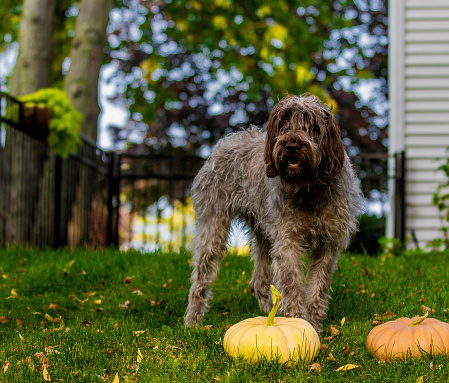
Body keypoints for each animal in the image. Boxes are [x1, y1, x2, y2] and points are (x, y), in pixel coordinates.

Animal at [184, 93, 362, 332]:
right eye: (283, 123)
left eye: (312, 126)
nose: (292, 146)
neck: (309, 189)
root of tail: (226, 141)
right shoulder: (287, 242)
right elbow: (293, 285)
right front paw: (299, 321)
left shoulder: (328, 244)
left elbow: (318, 286)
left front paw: (314, 324)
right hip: (213, 226)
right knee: (201, 279)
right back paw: (192, 322)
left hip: (264, 234)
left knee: (258, 282)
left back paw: (270, 314)